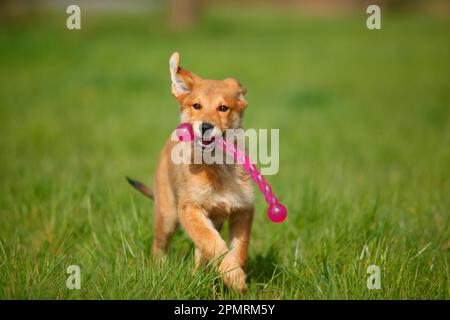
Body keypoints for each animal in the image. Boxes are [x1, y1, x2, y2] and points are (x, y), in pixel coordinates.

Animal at [127, 52, 253, 292]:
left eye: (223, 108)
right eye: (196, 105)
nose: (205, 127)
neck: (217, 167)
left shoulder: (243, 210)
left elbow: (238, 249)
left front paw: (235, 276)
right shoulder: (190, 209)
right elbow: (213, 243)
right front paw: (233, 276)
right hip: (167, 214)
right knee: (159, 245)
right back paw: (160, 269)